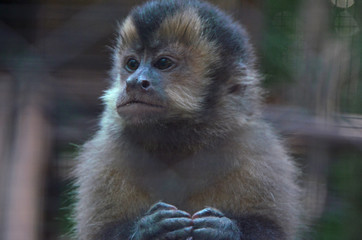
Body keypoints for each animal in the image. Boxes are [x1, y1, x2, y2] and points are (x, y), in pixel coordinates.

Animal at [73, 0, 300, 240]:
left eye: (163, 63)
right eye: (132, 64)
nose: (134, 82)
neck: (177, 141)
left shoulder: (256, 148)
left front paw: (224, 230)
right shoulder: (106, 154)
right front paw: (150, 229)